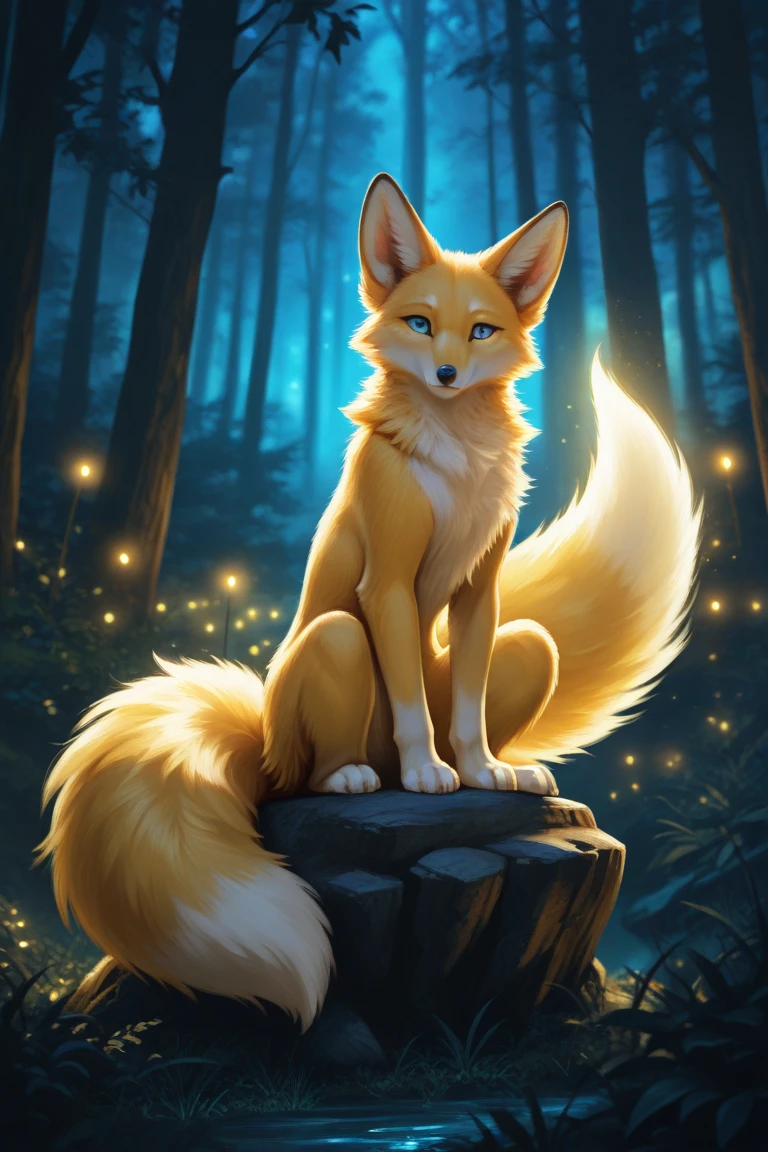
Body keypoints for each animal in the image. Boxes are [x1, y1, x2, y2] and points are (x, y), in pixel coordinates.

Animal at [38, 173, 700, 1031]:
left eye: (480, 330)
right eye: (420, 323)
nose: (447, 374)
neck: (453, 462)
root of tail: (259, 737)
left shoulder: (481, 592)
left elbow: (465, 710)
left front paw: (477, 770)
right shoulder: (384, 581)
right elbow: (414, 702)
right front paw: (426, 774)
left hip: (531, 642)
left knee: (499, 674)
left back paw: (493, 773)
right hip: (336, 642)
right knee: (314, 772)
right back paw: (362, 777)